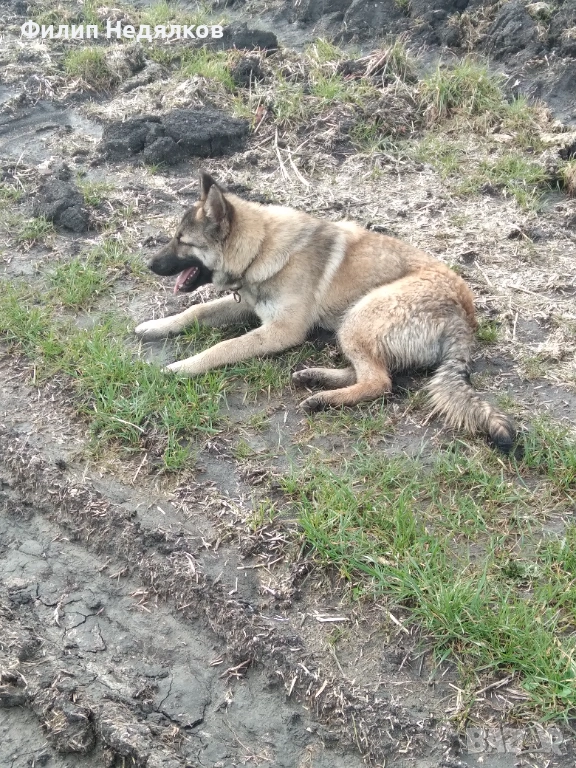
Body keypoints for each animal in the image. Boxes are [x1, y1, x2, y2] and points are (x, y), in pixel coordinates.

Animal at [135, 171, 515, 452]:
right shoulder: (247, 308)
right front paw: (156, 325)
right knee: (374, 374)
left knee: (379, 383)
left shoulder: (279, 331)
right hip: (355, 326)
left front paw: (182, 367)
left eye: (183, 241)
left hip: (359, 318)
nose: (149, 264)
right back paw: (315, 378)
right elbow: (195, 312)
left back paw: (323, 399)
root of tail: (465, 317)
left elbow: (222, 347)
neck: (260, 248)